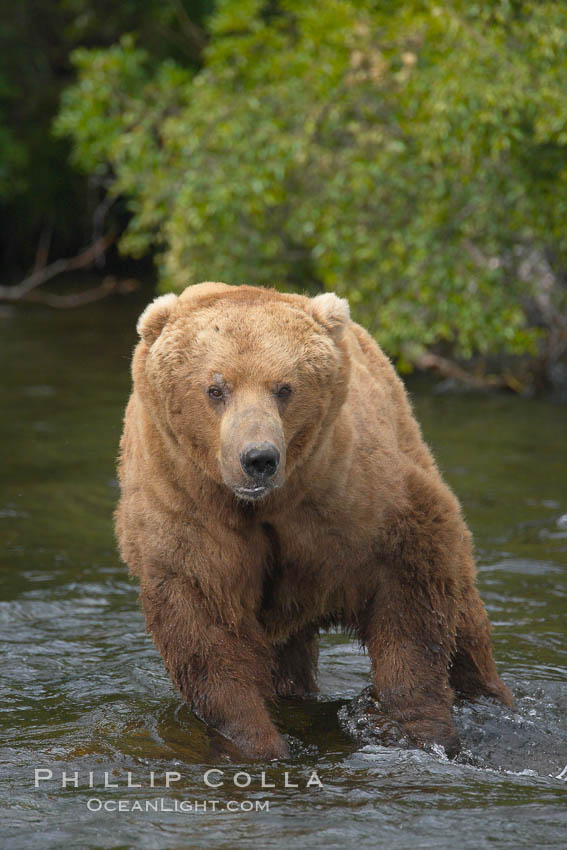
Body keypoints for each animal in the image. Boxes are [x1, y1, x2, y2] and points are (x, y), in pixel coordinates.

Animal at [115, 282, 516, 760]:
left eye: (284, 387)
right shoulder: (186, 507)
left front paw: (419, 729)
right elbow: (206, 630)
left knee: (466, 619)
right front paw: (259, 743)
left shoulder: (346, 492)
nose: (259, 459)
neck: (262, 505)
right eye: (216, 388)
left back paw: (491, 696)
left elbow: (413, 590)